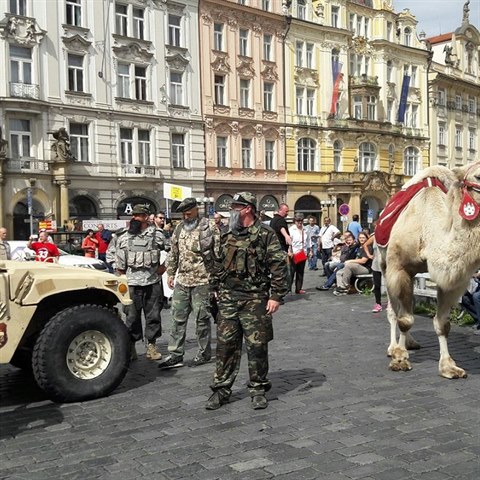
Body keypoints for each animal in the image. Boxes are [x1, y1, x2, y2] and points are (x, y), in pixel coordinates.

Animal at [378, 161, 480, 378]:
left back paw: (409, 343)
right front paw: (400, 360)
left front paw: (449, 366)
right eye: (478, 176)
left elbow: (442, 323)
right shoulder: (398, 268)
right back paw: (393, 348)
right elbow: (404, 319)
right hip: (383, 263)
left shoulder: (450, 279)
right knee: (393, 310)